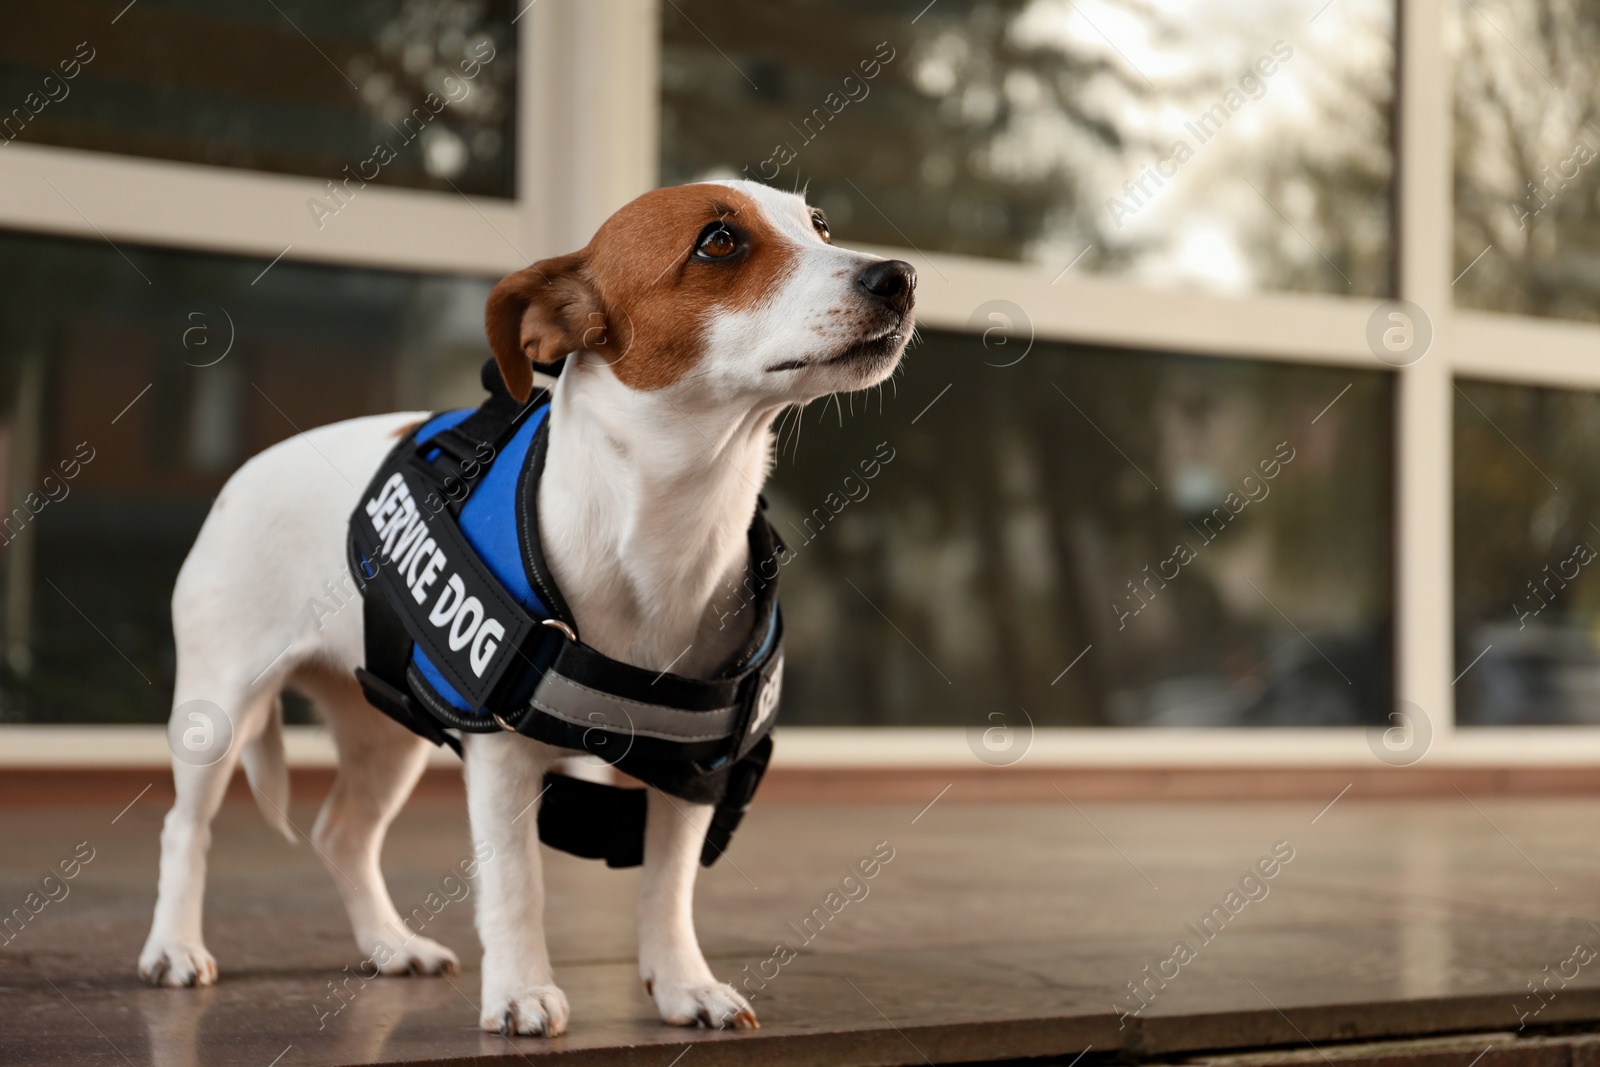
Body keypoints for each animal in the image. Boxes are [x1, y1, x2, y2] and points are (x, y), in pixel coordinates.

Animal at [137, 181, 915, 1036]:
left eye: (819, 226)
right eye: (718, 242)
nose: (900, 276)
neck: (669, 523)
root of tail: (244, 472)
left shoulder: (691, 769)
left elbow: (667, 886)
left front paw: (684, 982)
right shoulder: (503, 757)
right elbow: (517, 885)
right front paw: (519, 990)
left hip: (384, 734)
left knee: (342, 834)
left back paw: (390, 944)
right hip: (217, 710)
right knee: (185, 827)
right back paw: (173, 947)